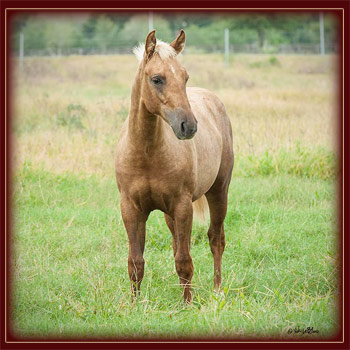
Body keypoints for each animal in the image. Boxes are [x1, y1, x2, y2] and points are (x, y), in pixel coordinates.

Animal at [116, 30, 234, 304]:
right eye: (157, 79)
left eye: (185, 77)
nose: (188, 126)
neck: (147, 154)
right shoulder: (131, 209)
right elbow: (135, 262)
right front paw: (134, 304)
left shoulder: (182, 206)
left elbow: (184, 260)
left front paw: (187, 304)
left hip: (219, 191)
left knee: (216, 239)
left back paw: (217, 290)